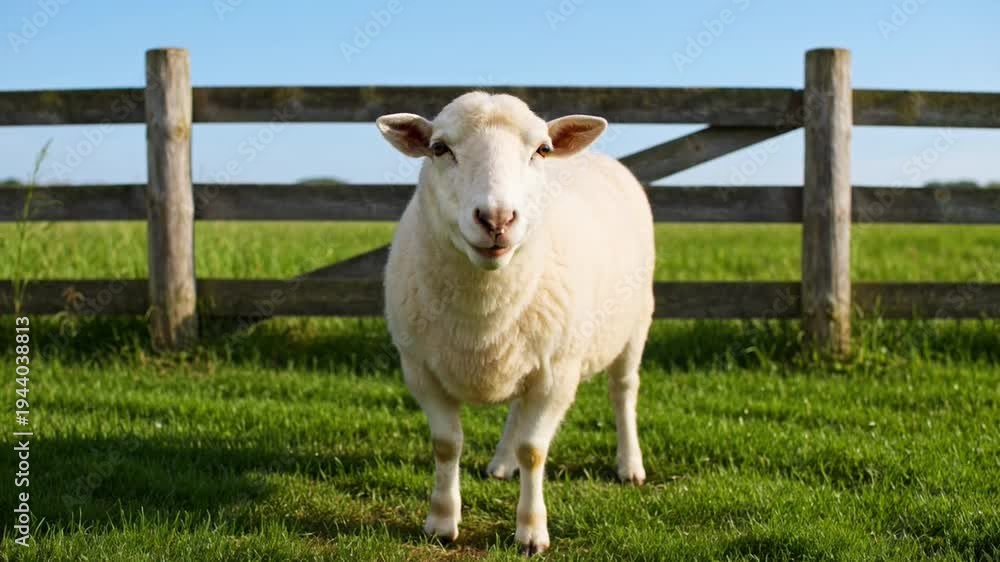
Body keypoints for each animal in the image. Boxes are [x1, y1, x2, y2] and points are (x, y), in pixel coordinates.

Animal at [376, 91, 654, 555]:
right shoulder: (420, 370)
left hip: (635, 321)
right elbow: (446, 445)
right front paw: (441, 522)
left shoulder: (557, 375)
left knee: (623, 391)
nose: (496, 219)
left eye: (541, 150)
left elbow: (534, 450)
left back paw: (629, 464)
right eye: (439, 148)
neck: (484, 309)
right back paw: (502, 463)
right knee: (516, 409)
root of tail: (597, 156)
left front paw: (531, 533)